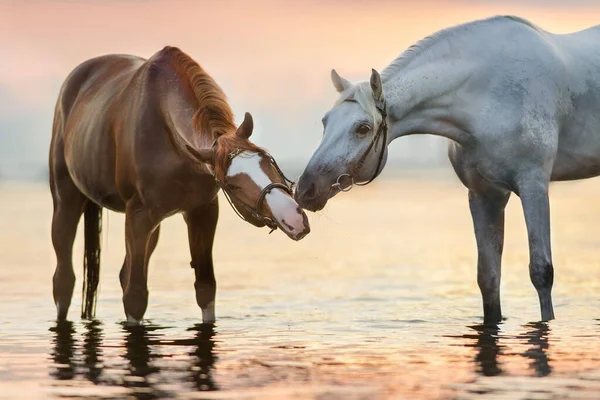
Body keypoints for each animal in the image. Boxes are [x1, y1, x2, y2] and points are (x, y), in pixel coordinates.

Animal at [49, 45, 310, 324]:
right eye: (231, 185)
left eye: (268, 160)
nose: (292, 217)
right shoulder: (138, 216)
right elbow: (135, 295)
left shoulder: (202, 212)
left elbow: (205, 288)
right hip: (67, 202)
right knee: (64, 280)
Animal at [294, 15, 600, 324]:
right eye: (326, 121)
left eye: (362, 128)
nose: (306, 189)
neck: (489, 97)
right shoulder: (484, 194)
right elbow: (488, 278)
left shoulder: (533, 187)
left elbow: (541, 272)